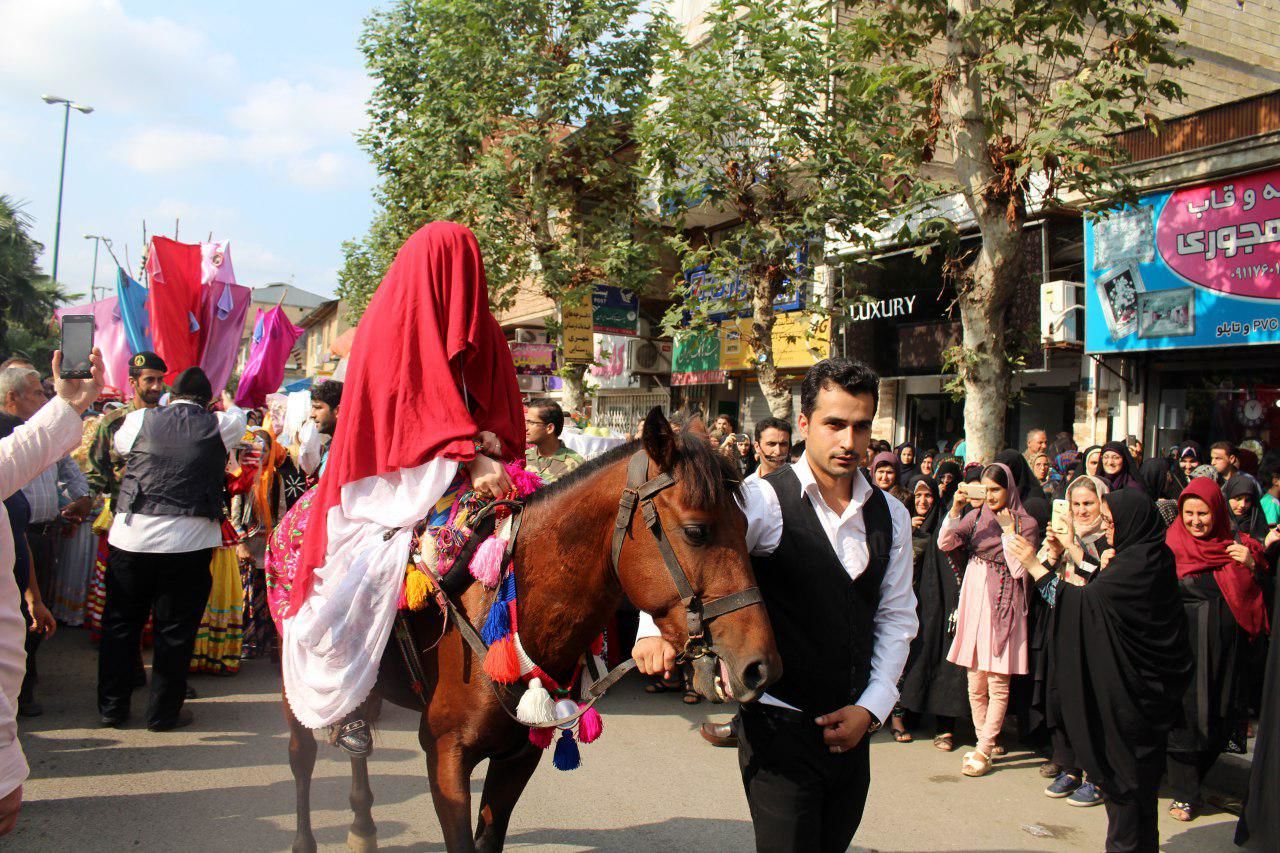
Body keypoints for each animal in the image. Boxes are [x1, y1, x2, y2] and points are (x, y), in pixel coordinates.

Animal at [286, 407, 778, 850]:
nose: (761, 667)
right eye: (696, 531)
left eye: (747, 527)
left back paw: (362, 826)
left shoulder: (519, 756)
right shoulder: (446, 753)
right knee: (301, 757)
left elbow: (489, 838)